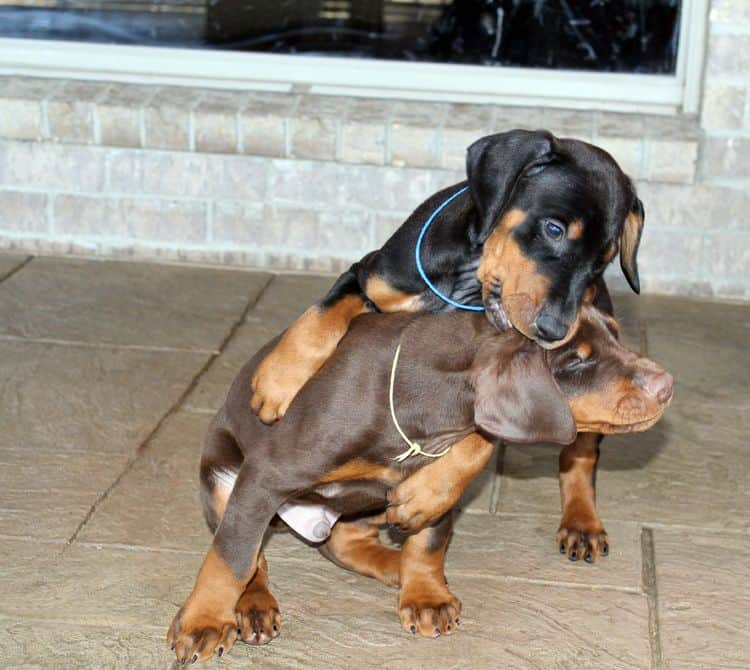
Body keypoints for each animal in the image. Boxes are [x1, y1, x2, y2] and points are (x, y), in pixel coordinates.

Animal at [167, 308, 672, 664]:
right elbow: (233, 556)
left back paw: (399, 567)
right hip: (222, 472)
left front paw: (426, 595)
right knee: (251, 548)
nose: (667, 385)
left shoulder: (443, 484)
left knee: (343, 542)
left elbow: (430, 534)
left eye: (615, 334)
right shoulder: (265, 475)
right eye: (578, 360)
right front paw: (203, 622)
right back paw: (253, 605)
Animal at [251, 130, 648, 426]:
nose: (554, 331)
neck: (462, 280)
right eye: (554, 229)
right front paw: (278, 380)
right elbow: (323, 314)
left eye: (601, 263)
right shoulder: (368, 274)